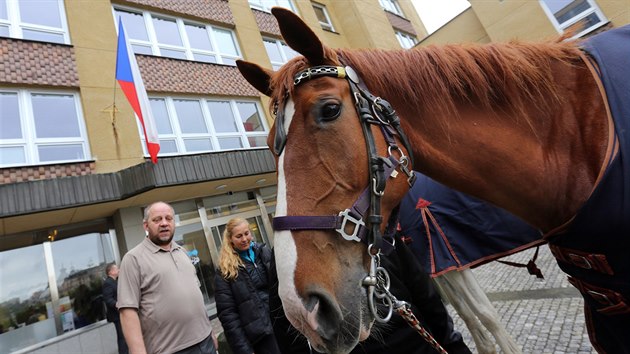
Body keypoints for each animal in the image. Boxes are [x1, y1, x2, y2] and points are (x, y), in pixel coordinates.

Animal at [238, 7, 630, 354]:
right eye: (271, 142)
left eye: (329, 109)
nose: (302, 309)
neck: (578, 136)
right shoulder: (441, 267)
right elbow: (476, 324)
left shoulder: (448, 258)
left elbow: (485, 318)